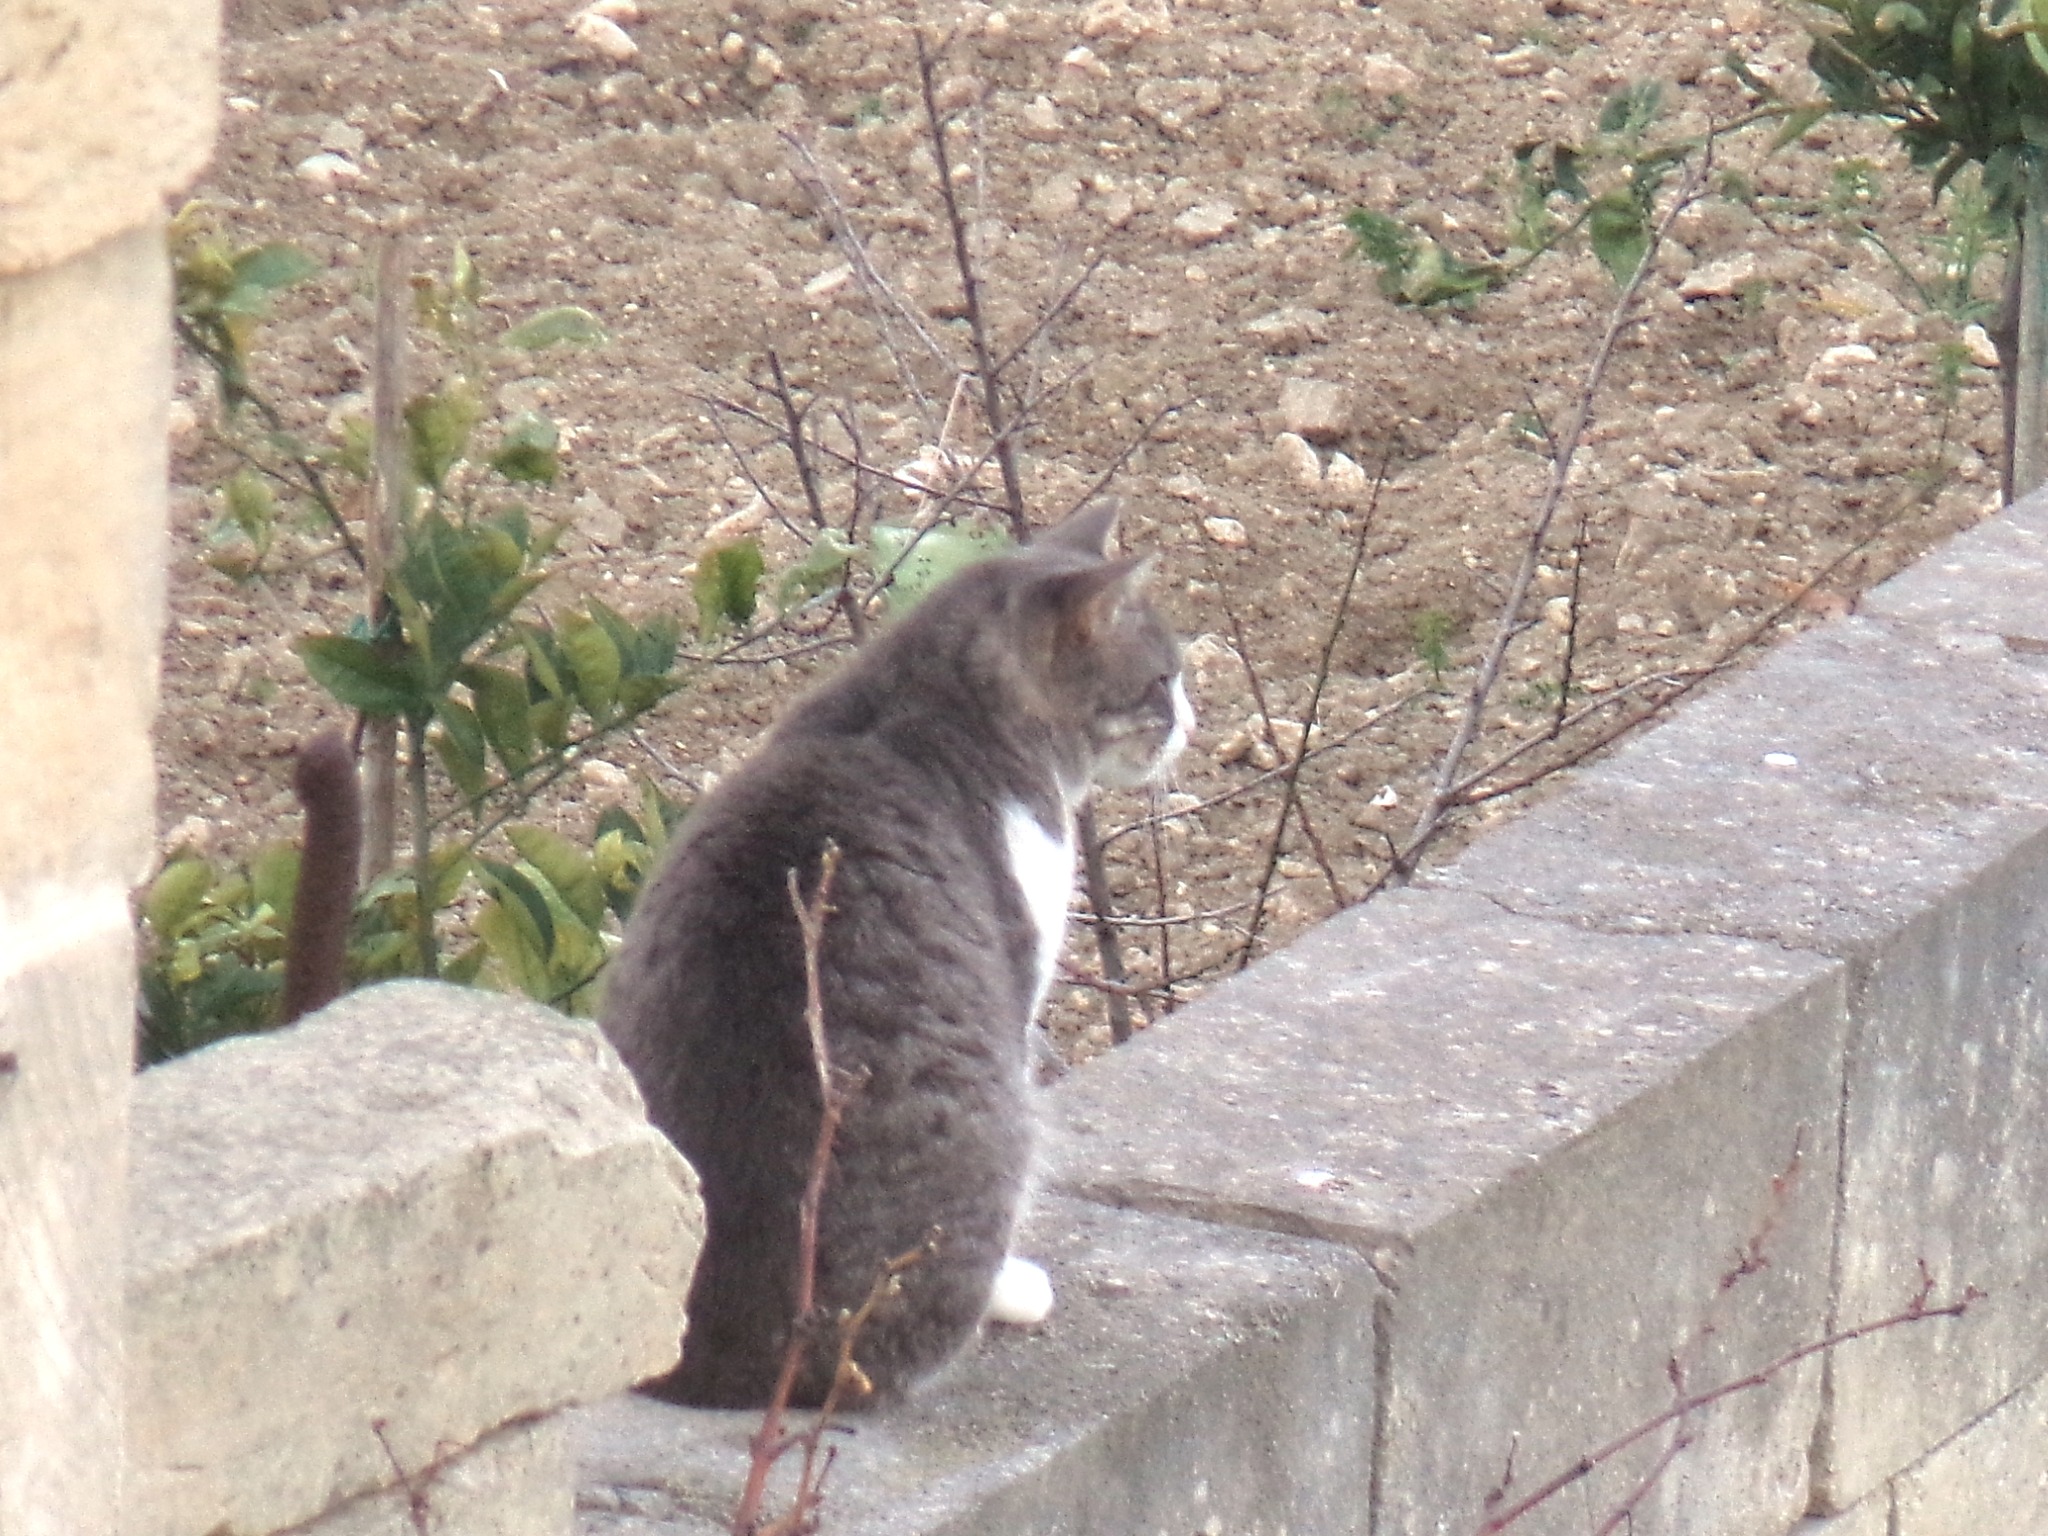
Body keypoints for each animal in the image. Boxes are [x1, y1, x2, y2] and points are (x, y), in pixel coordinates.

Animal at [600, 498, 1191, 1408]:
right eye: (1162, 679)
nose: (1190, 720)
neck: (924, 705)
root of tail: (724, 1367)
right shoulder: (1018, 980)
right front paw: (1019, 1287)